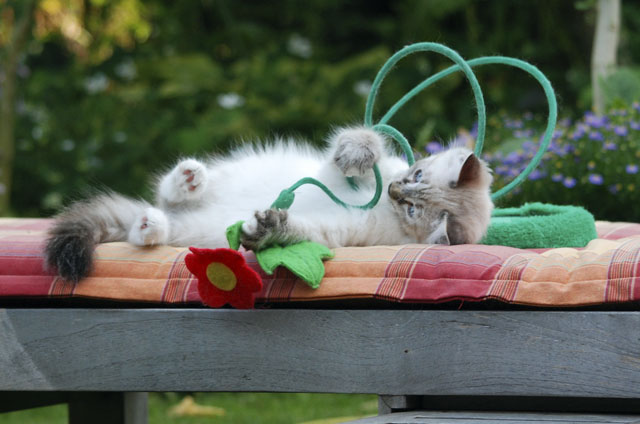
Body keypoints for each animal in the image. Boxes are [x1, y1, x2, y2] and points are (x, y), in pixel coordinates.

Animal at [44, 126, 494, 282]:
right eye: (415, 174)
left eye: (413, 210)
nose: (394, 192)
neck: (384, 210)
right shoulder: (343, 170)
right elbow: (364, 139)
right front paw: (355, 154)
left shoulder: (337, 232)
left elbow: (296, 229)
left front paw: (267, 228)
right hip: (230, 175)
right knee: (168, 194)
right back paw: (189, 178)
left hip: (196, 230)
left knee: (153, 228)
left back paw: (148, 225)